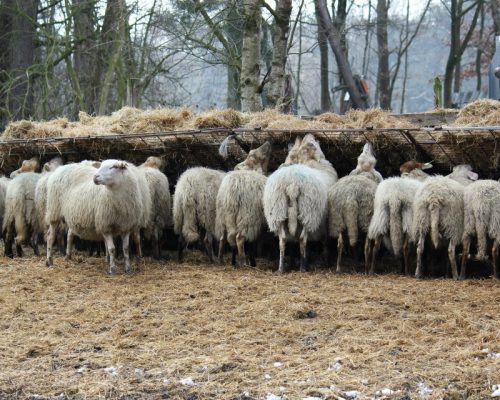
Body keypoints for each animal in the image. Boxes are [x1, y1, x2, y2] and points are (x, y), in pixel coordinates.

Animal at [264, 134, 338, 272]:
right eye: (315, 144)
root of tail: (292, 184)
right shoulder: (325, 222)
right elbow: (324, 241)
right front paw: (325, 262)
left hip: (278, 211)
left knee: (282, 239)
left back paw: (281, 268)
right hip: (307, 212)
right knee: (303, 239)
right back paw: (303, 267)